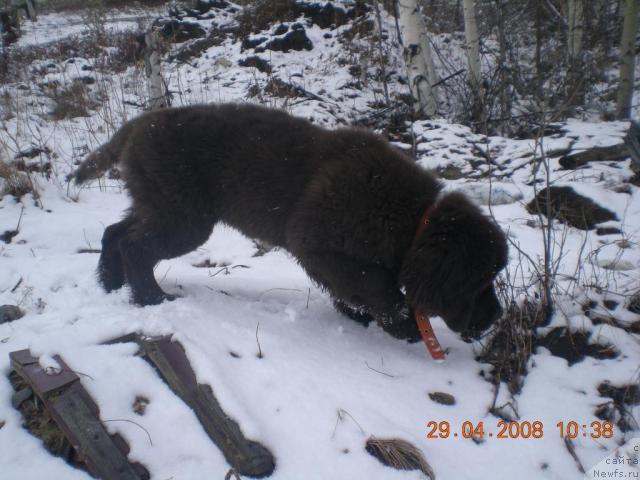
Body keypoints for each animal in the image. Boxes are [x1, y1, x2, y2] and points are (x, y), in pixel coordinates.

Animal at [74, 103, 504, 342]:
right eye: (478, 281)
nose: (496, 317)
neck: (410, 220)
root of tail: (138, 124)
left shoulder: (329, 259)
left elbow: (353, 289)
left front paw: (360, 317)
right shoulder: (315, 246)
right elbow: (377, 285)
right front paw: (405, 328)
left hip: (159, 206)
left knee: (115, 233)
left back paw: (110, 284)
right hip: (183, 217)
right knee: (134, 245)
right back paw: (150, 298)